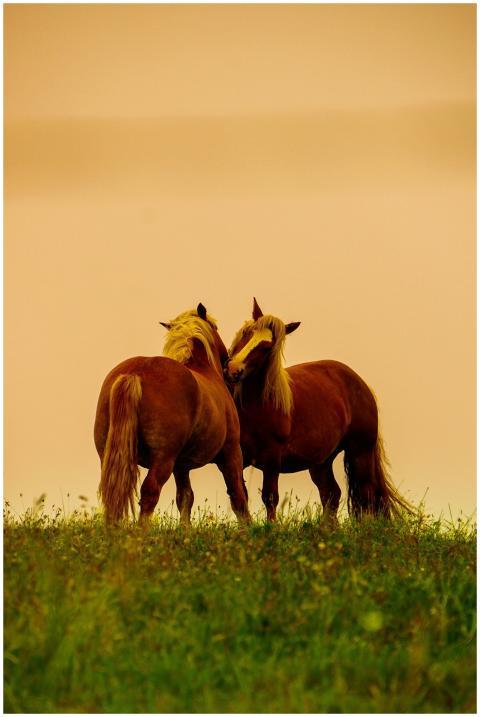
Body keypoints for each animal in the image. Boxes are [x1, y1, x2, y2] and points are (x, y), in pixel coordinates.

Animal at [94, 303, 251, 525]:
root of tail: (135, 373)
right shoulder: (231, 453)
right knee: (150, 492)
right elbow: (238, 496)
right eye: (215, 327)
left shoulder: (181, 465)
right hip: (163, 458)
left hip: (108, 454)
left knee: (113, 491)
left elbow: (185, 498)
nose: (229, 362)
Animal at [224, 298, 412, 522]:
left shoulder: (272, 459)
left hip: (360, 452)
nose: (233, 369)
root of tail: (362, 385)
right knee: (331, 494)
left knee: (366, 493)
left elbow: (270, 497)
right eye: (247, 333)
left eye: (267, 347)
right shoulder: (237, 458)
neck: (256, 407)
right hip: (321, 462)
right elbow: (239, 498)